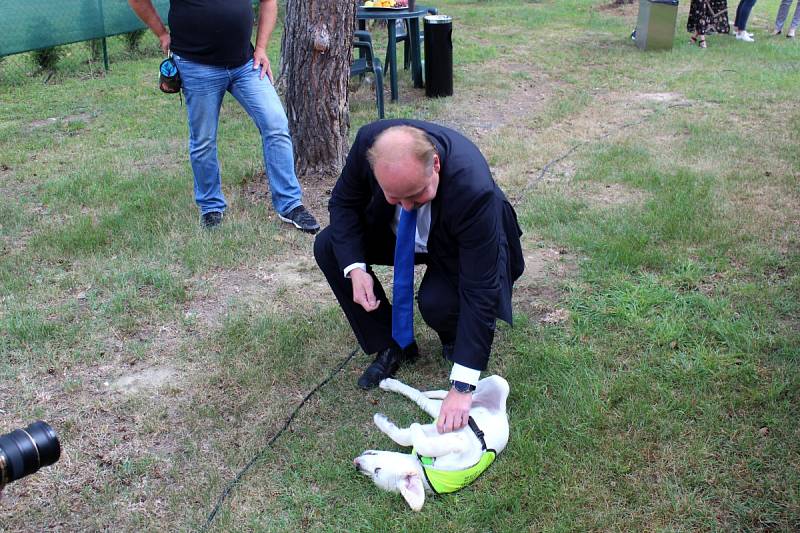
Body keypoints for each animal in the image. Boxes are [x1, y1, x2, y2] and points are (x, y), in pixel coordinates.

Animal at [354, 372, 510, 510]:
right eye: (373, 475)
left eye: (377, 470)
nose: (356, 464)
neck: (426, 466)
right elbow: (409, 437)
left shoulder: (456, 440)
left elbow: (413, 439)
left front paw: (385, 422)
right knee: (435, 397)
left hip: (496, 382)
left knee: (440, 396)